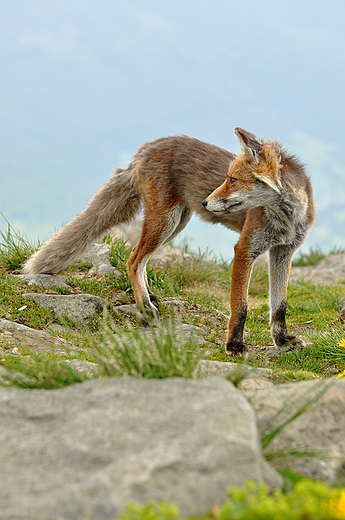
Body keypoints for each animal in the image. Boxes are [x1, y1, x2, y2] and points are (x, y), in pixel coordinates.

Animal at [23, 128, 314, 356]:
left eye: (233, 180)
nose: (205, 202)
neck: (286, 219)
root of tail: (147, 146)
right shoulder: (245, 249)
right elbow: (240, 307)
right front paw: (234, 345)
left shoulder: (283, 253)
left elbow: (279, 306)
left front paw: (282, 341)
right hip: (165, 222)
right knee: (133, 260)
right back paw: (145, 307)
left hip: (175, 224)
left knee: (138, 257)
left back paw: (148, 296)